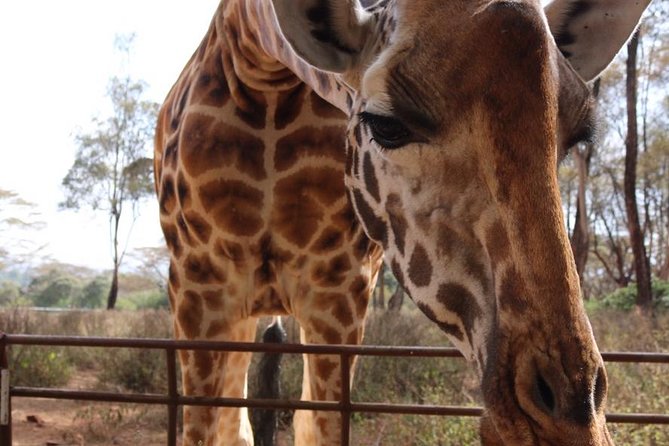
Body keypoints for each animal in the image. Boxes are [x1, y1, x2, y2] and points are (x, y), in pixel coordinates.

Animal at [154, 0, 651, 445]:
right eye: (386, 125)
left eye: (576, 137)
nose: (567, 423)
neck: (266, 74)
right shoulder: (198, 287)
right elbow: (206, 430)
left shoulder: (341, 292)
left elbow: (316, 426)